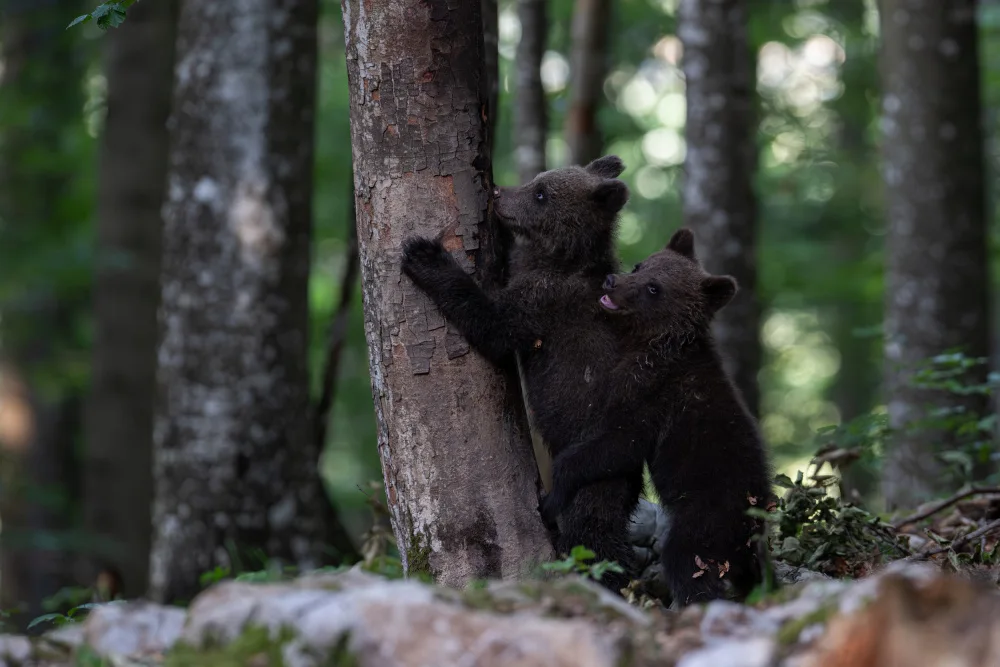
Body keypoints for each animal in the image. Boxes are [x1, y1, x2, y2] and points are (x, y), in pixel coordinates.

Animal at [400, 156, 645, 593]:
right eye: (537, 181)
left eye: (542, 194)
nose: (499, 194)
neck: (558, 258)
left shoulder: (542, 303)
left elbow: (492, 325)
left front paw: (425, 255)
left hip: (594, 461)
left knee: (593, 526)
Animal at [538, 227, 774, 607]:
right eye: (641, 265)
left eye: (654, 288)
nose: (612, 281)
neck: (654, 344)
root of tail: (753, 524)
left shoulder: (652, 397)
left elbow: (616, 445)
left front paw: (552, 496)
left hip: (707, 517)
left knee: (685, 559)